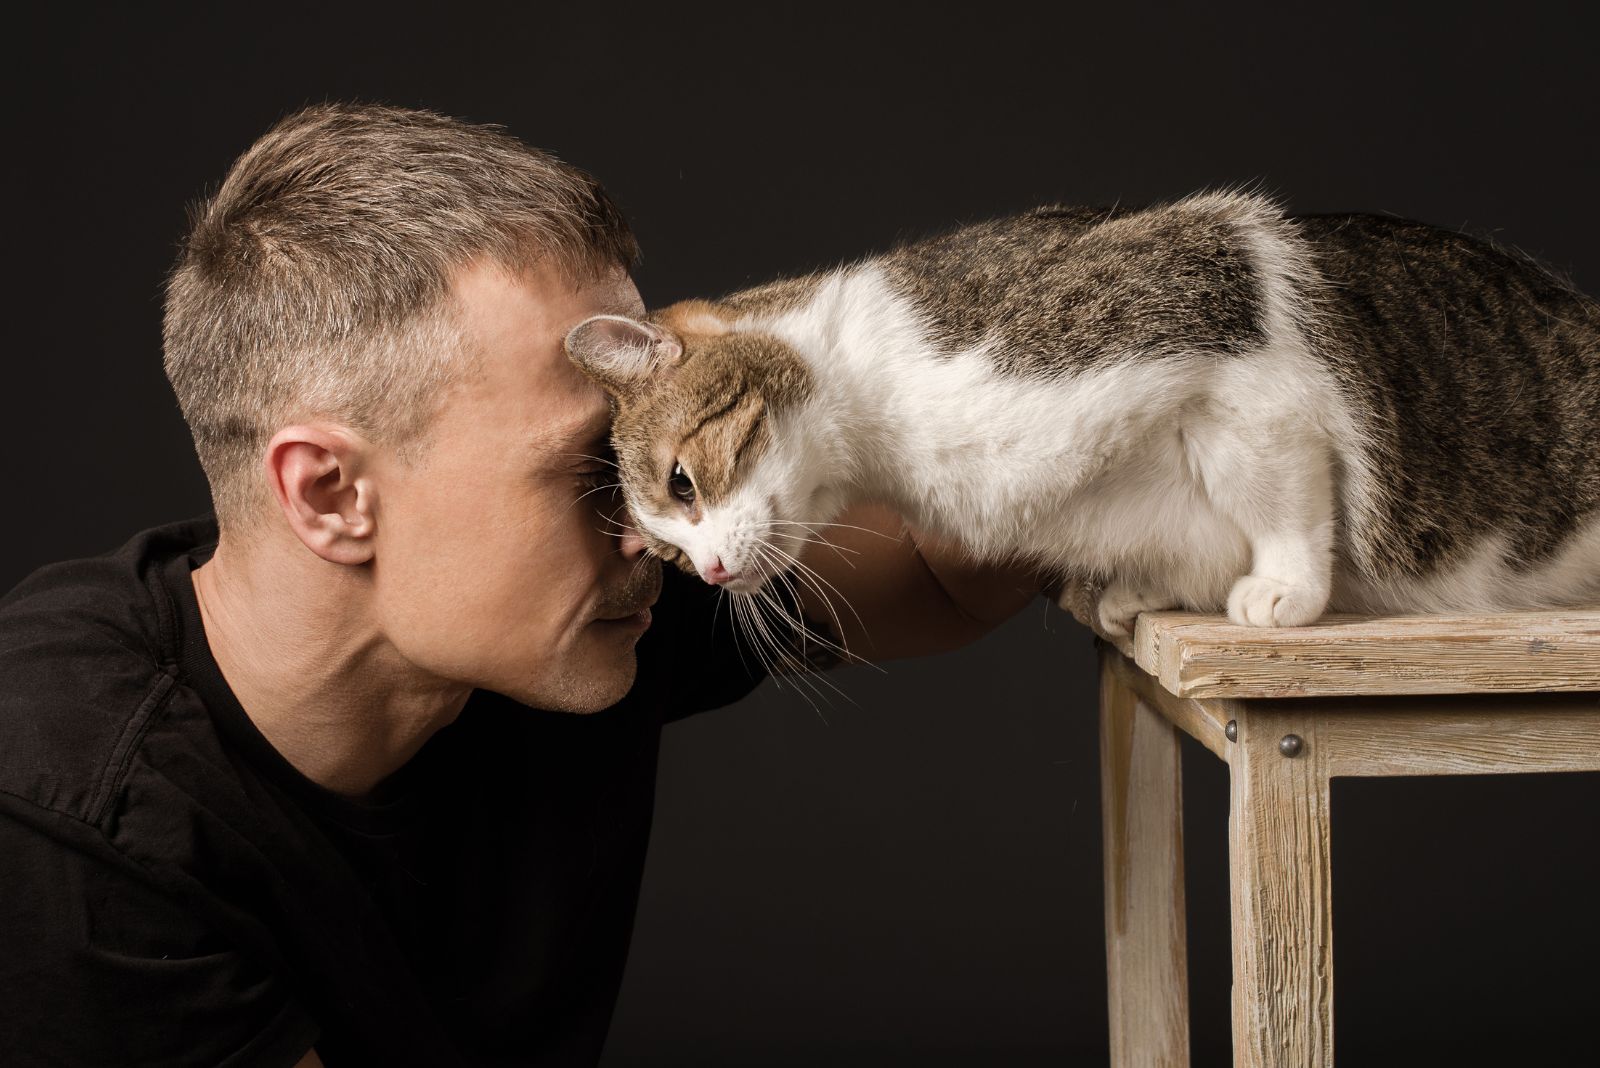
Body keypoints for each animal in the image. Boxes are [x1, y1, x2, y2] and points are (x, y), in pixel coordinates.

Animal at [563, 191, 1600, 642]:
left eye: (684, 483)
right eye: (665, 557)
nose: (713, 570)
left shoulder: (1218, 289)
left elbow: (1281, 491)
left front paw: (1287, 588)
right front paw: (1141, 590)